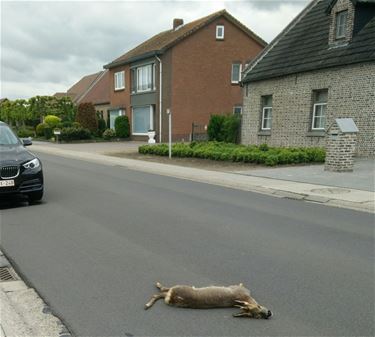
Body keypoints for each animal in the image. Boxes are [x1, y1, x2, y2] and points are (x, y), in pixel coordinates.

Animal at [145, 280, 274, 318]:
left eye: (257, 316)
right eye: (258, 307)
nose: (268, 313)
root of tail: (172, 297)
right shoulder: (239, 289)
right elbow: (240, 285)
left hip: (175, 291)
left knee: (160, 293)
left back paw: (148, 304)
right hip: (178, 287)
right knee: (162, 290)